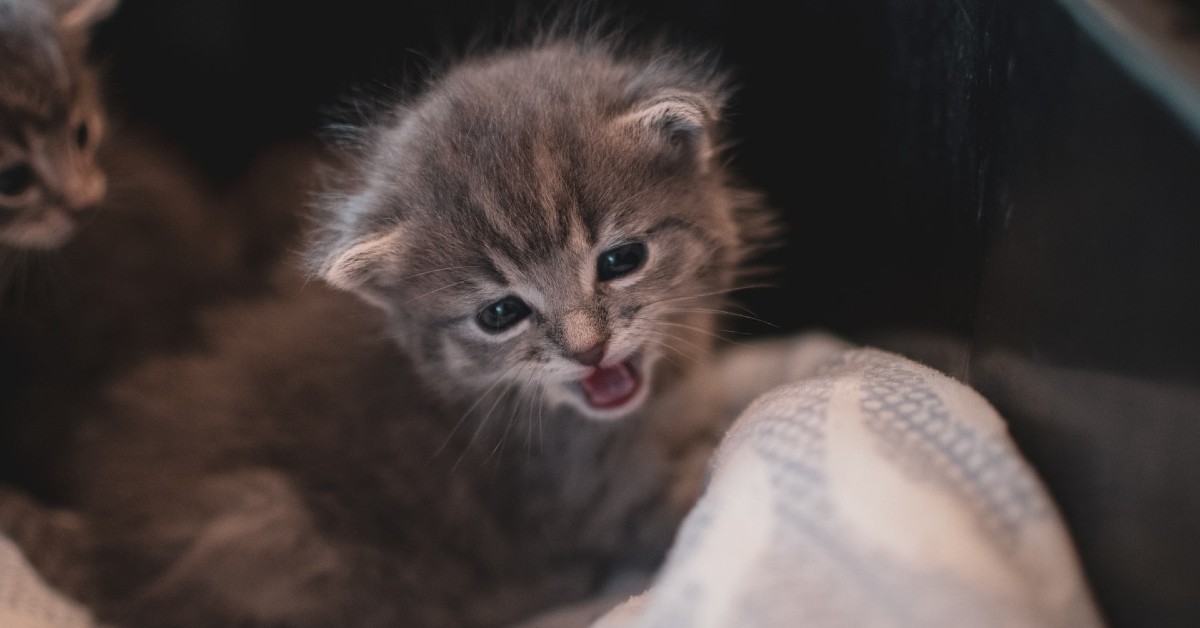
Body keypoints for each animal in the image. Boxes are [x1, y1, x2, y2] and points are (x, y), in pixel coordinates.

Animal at [65, 35, 801, 628]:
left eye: (621, 260)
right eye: (499, 315)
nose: (588, 347)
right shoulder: (591, 500)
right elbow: (693, 494)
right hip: (267, 526)